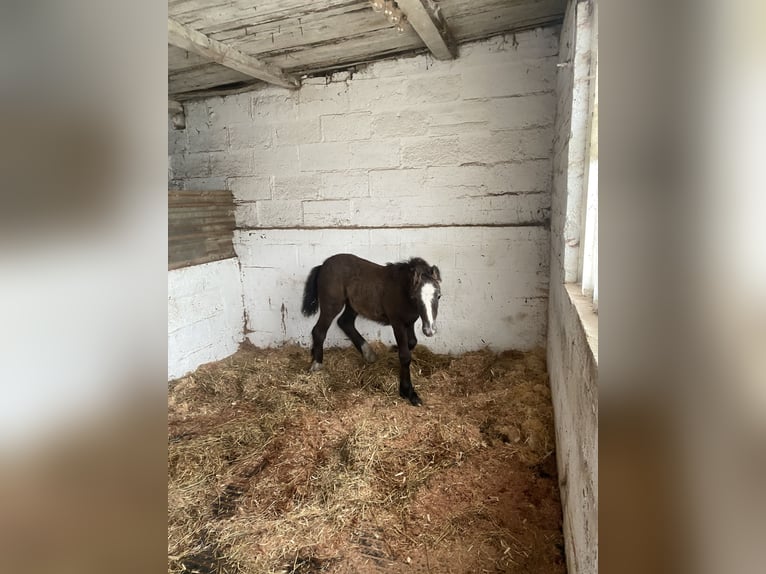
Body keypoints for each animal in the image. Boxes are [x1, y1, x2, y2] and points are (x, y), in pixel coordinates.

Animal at [302, 254, 444, 408]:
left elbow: (412, 342)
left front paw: (394, 349)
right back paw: (316, 365)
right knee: (319, 330)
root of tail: (323, 265)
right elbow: (405, 355)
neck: (402, 291)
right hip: (331, 304)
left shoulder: (409, 321)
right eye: (415, 297)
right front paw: (408, 392)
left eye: (439, 296)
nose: (429, 330)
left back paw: (368, 353)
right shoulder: (397, 323)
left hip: (353, 304)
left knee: (345, 322)